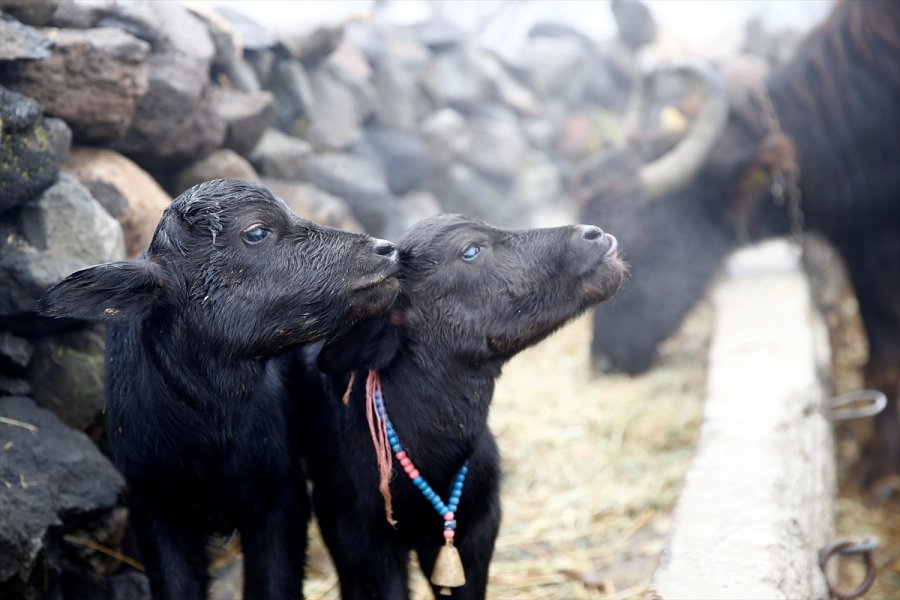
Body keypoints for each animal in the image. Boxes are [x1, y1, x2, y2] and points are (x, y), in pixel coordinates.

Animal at [35, 179, 400, 600]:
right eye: (256, 232)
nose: (386, 250)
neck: (210, 429)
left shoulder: (281, 495)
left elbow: (274, 583)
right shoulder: (156, 505)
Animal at [576, 0, 900, 494]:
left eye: (648, 242)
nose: (605, 361)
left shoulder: (881, 250)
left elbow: (889, 357)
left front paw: (882, 466)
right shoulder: (863, 250)